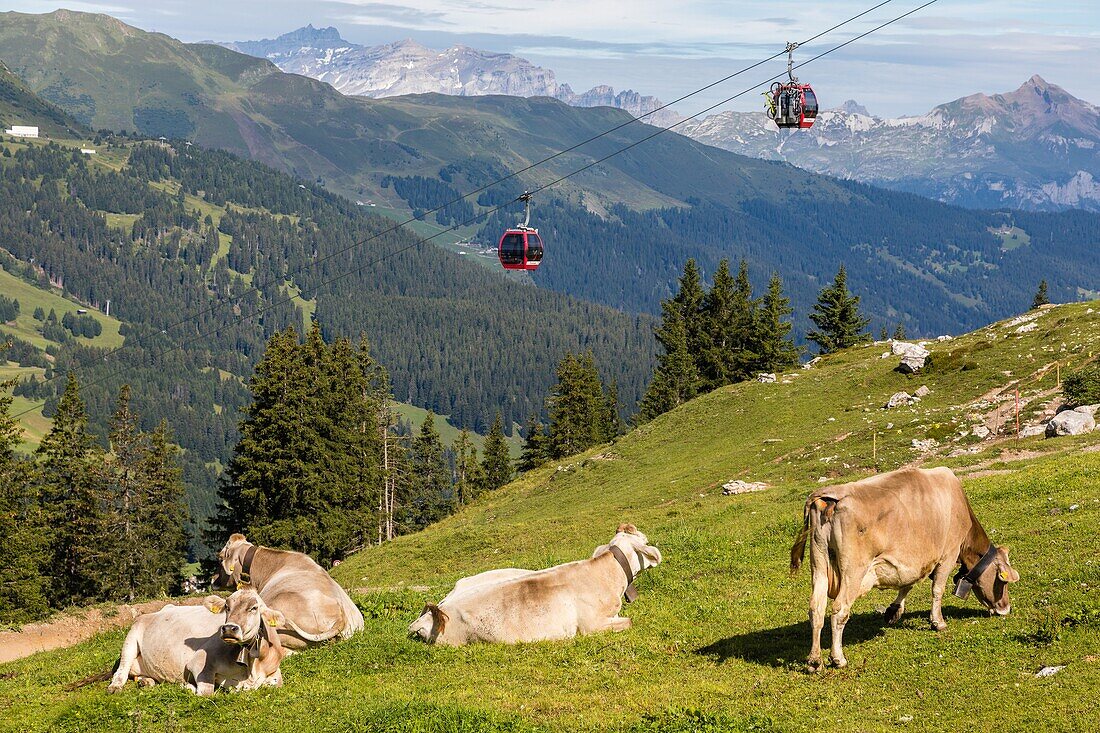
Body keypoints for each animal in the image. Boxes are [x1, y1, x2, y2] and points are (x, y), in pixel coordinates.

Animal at [105, 585, 286, 695]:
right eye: (227, 607)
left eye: (254, 608)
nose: (228, 628)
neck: (251, 668)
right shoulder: (198, 662)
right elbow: (206, 692)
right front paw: (186, 686)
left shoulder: (274, 672)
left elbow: (278, 683)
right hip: (131, 638)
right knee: (122, 670)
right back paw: (115, 686)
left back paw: (146, 681)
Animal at [787, 468, 1016, 669]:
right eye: (1002, 580)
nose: (1006, 608)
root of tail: (830, 495)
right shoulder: (948, 555)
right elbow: (937, 590)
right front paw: (938, 622)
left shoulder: (913, 561)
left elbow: (907, 584)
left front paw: (894, 611)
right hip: (854, 570)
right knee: (839, 609)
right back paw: (838, 658)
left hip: (819, 564)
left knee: (816, 608)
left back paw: (814, 661)